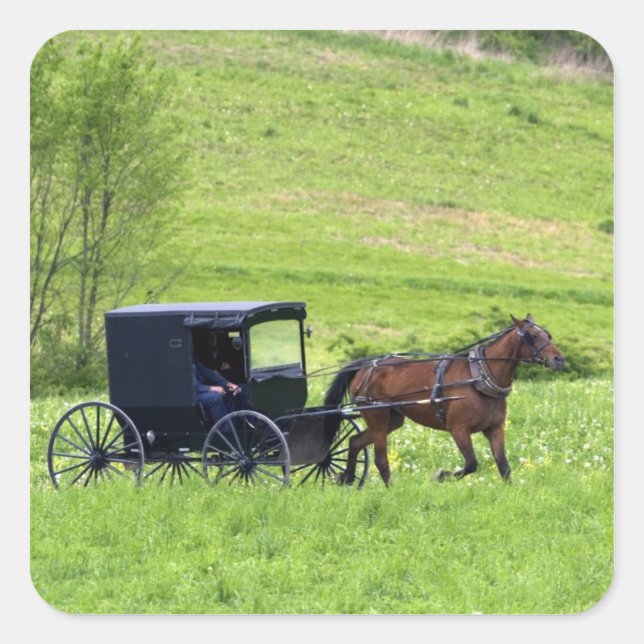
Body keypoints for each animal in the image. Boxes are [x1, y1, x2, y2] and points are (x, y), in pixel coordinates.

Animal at [323, 314, 565, 486]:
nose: (559, 360)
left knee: (355, 442)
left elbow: (504, 466)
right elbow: (471, 464)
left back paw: (345, 478)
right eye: (532, 336)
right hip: (377, 416)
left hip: (392, 419)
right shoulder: (458, 429)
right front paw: (439, 475)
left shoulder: (494, 429)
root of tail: (365, 366)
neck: (479, 377)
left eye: (548, 335)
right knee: (381, 460)